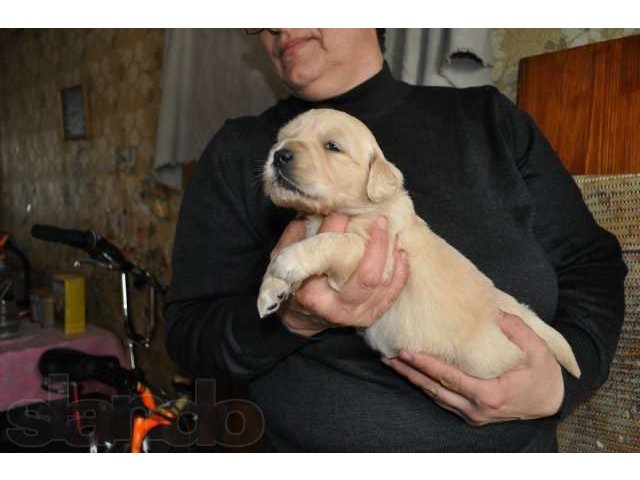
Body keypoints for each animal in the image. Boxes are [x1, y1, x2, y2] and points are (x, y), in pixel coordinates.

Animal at [258, 108, 584, 378]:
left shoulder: (376, 255)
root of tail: (517, 312)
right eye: (282, 138)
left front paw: (288, 262)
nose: (279, 154)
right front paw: (270, 291)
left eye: (332, 146)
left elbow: (332, 242)